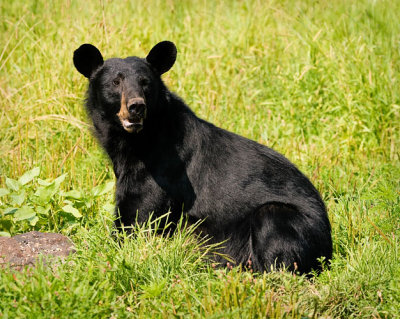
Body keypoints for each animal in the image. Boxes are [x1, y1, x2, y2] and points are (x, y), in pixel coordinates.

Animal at [73, 40, 332, 276]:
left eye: (145, 83)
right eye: (115, 82)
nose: (136, 107)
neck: (135, 141)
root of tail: (328, 247)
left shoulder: (160, 173)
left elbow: (138, 218)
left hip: (288, 222)